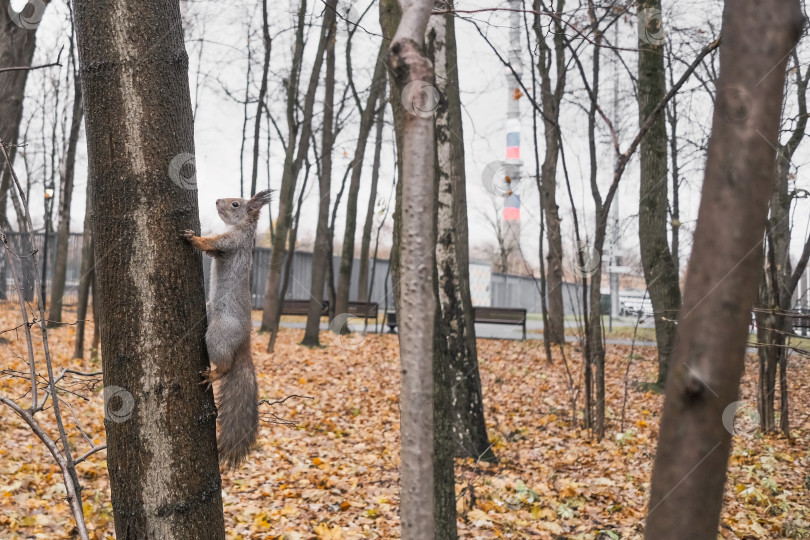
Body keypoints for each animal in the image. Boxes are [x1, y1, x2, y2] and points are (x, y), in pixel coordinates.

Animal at [181, 188, 274, 466]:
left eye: (235, 204)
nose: (216, 201)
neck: (242, 228)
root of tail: (244, 342)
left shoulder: (232, 242)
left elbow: (211, 244)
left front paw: (192, 237)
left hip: (218, 335)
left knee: (225, 365)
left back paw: (213, 374)